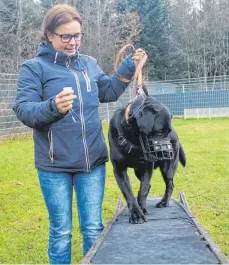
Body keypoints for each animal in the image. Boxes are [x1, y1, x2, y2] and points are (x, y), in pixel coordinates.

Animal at [108, 94, 186, 223]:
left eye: (168, 132)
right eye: (159, 131)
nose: (169, 151)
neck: (133, 137)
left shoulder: (147, 167)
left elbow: (143, 190)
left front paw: (142, 209)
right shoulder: (119, 169)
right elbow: (128, 193)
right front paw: (136, 213)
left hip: (167, 169)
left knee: (170, 185)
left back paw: (164, 202)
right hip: (138, 171)